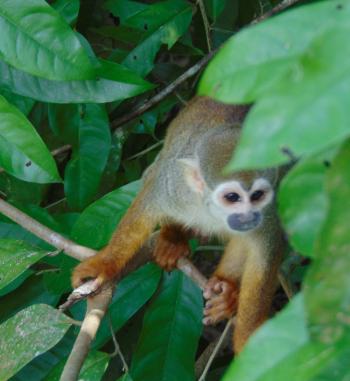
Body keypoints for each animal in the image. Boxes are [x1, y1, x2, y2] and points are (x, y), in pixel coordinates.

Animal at [72, 95, 286, 354]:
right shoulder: (175, 186)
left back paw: (227, 289)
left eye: (257, 196)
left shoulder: (269, 210)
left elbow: (265, 253)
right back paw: (172, 238)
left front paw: (253, 344)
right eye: (232, 197)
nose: (249, 216)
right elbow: (148, 203)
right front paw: (104, 264)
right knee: (152, 173)